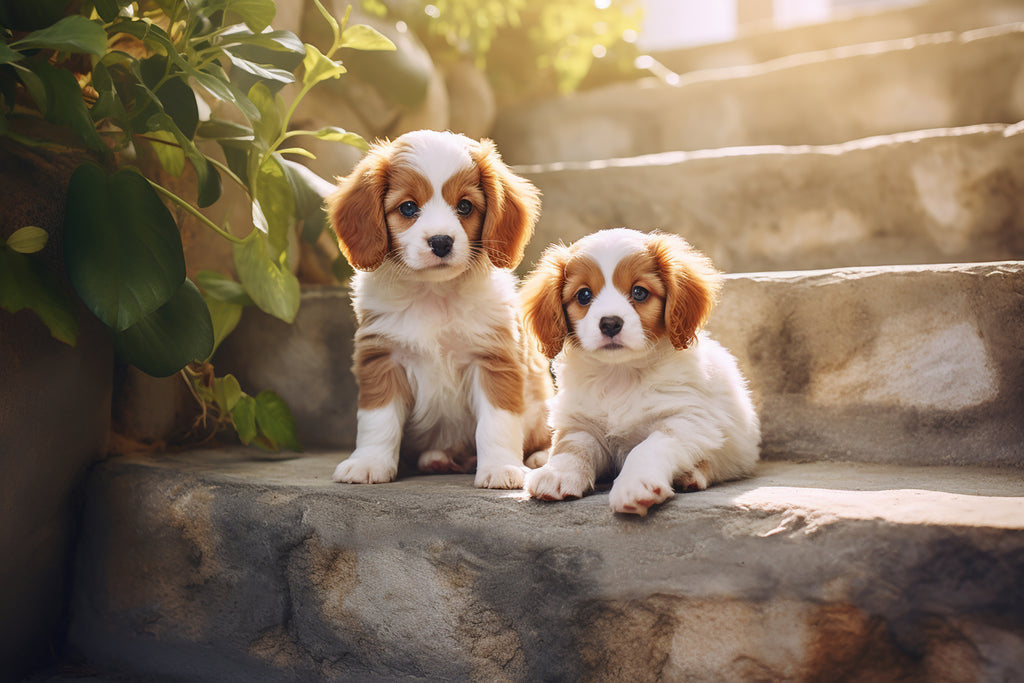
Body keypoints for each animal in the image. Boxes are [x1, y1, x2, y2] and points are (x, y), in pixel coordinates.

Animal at [325, 127, 552, 489]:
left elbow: (497, 422)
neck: (434, 293)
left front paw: (501, 468)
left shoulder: (493, 360)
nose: (441, 242)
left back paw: (540, 456)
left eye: (465, 206)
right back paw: (437, 459)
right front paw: (368, 463)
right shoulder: (382, 359)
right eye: (407, 208)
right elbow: (377, 420)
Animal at [524, 227, 757, 516]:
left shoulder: (686, 420)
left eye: (639, 292)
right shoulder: (582, 425)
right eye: (584, 295)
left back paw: (691, 475)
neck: (620, 374)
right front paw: (556, 473)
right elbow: (571, 449)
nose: (610, 323)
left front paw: (635, 485)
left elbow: (647, 447)